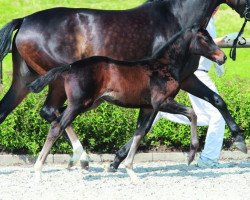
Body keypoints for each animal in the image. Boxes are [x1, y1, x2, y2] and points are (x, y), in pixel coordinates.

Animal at [28, 28, 226, 183]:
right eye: (205, 39)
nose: (222, 57)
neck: (164, 66)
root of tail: (69, 67)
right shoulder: (161, 102)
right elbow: (192, 113)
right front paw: (192, 153)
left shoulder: (147, 108)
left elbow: (139, 133)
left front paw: (131, 172)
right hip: (79, 104)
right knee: (56, 125)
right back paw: (38, 171)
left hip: (89, 104)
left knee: (56, 115)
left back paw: (76, 158)